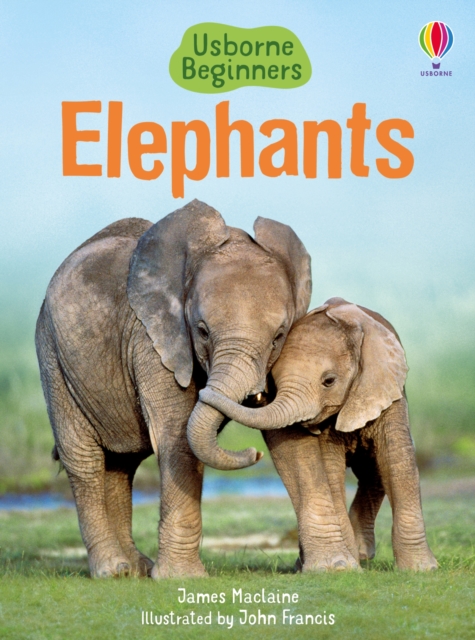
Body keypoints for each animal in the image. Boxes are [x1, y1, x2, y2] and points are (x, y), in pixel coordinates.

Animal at [35, 199, 356, 579]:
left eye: (278, 336)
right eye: (202, 331)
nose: (253, 454)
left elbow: (286, 435)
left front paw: (335, 567)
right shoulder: (153, 339)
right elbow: (176, 433)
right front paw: (181, 577)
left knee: (120, 463)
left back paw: (135, 568)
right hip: (52, 354)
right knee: (83, 459)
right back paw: (114, 570)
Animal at [200, 297, 438, 571]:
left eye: (329, 381)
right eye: (274, 382)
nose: (255, 453)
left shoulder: (386, 391)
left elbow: (396, 459)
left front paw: (422, 569)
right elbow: (330, 469)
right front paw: (344, 567)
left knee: (373, 470)